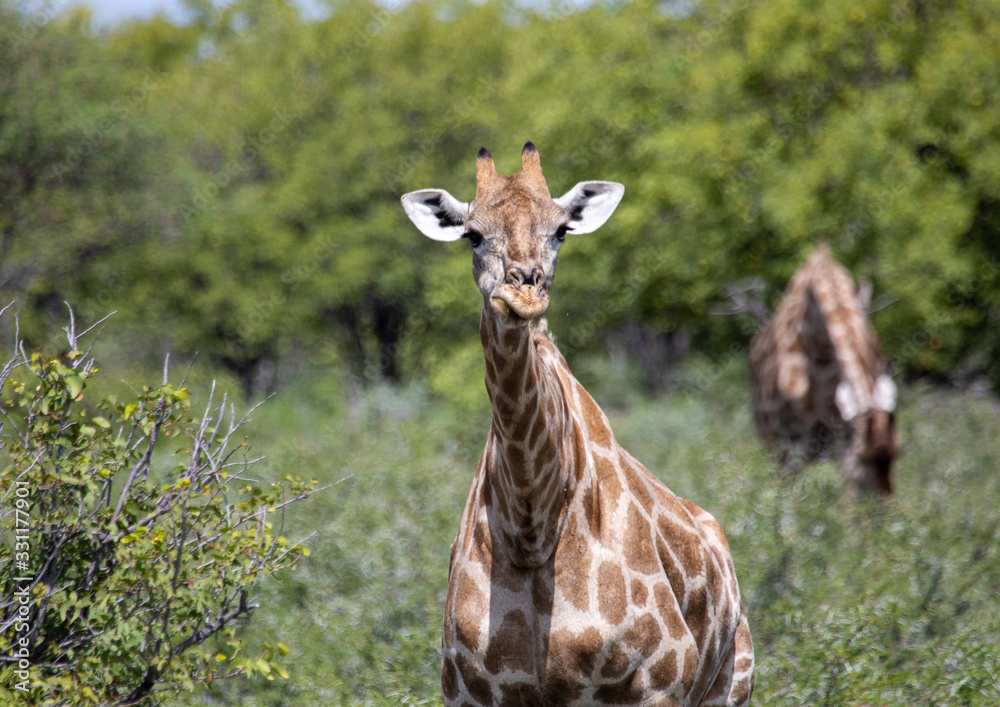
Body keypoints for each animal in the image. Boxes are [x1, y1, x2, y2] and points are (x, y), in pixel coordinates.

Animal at [402, 141, 752, 704]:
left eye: (561, 229)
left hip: (731, 682)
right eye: (472, 234)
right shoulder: (470, 692)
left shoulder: (659, 681)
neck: (532, 527)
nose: (524, 290)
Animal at [748, 246, 904, 496]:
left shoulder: (839, 437)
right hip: (775, 445)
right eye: (863, 457)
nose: (883, 503)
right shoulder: (792, 441)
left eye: (899, 451)